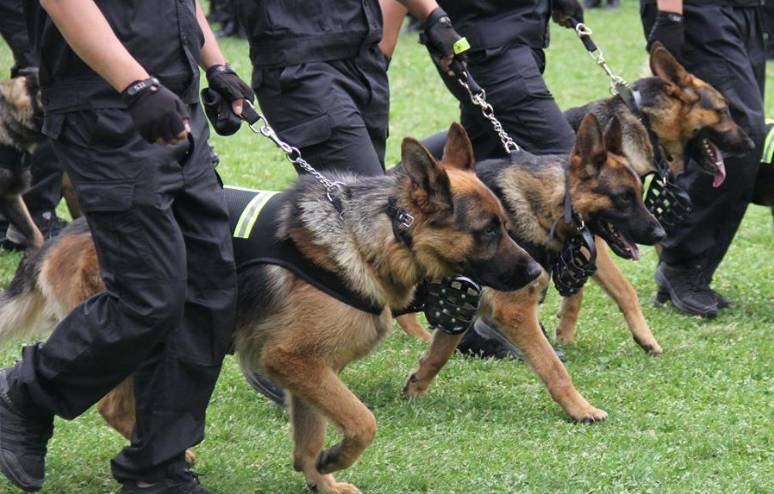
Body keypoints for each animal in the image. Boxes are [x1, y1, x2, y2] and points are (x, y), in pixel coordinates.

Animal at [0, 124, 540, 494]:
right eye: (488, 231)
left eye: (504, 223)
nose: (537, 272)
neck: (377, 236)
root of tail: (63, 235)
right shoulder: (293, 359)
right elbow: (362, 421)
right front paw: (336, 458)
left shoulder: (309, 370)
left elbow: (308, 439)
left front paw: (321, 478)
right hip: (141, 330)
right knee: (109, 400)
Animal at [400, 113, 668, 424]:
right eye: (624, 196)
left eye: (639, 192)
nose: (661, 233)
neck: (544, 204)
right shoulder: (515, 310)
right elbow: (553, 367)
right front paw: (581, 409)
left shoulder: (463, 302)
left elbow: (438, 355)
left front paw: (415, 387)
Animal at [556, 44, 756, 348]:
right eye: (723, 111)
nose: (751, 145)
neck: (644, 123)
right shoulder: (594, 238)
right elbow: (622, 288)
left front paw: (563, 334)